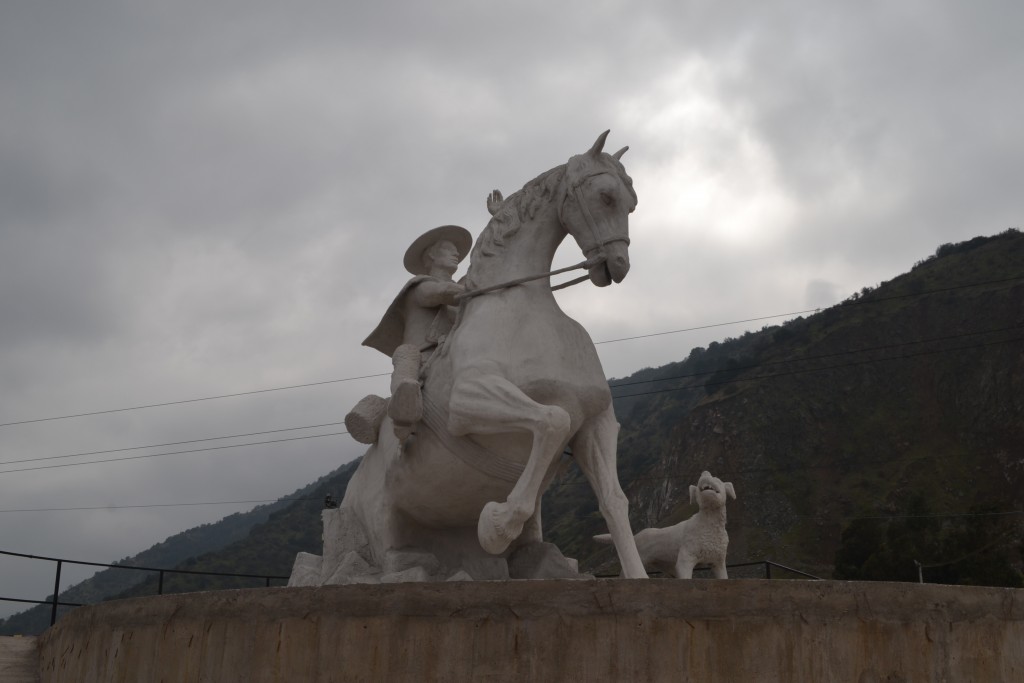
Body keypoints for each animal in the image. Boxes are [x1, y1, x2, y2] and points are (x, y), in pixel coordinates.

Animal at [344, 131, 647, 581]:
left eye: (632, 202)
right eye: (606, 196)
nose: (618, 264)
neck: (523, 305)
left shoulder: (597, 420)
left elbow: (614, 500)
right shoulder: (468, 401)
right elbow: (552, 420)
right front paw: (497, 525)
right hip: (383, 527)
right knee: (395, 559)